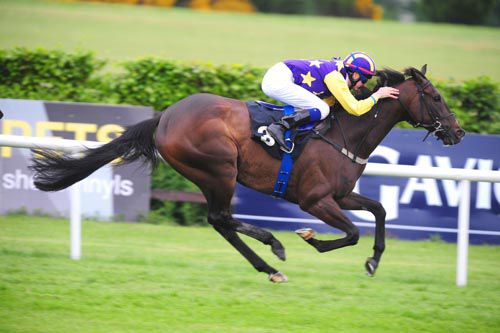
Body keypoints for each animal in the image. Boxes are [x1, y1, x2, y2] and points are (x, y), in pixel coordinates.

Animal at [30, 66, 464, 282]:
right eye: (436, 97)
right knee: (221, 218)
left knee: (220, 222)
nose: (458, 132)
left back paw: (268, 265)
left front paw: (373, 261)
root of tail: (165, 117)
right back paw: (275, 248)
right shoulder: (315, 200)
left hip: (212, 175)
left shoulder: (340, 195)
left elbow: (379, 211)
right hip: (218, 168)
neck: (346, 133)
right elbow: (352, 232)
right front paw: (310, 239)